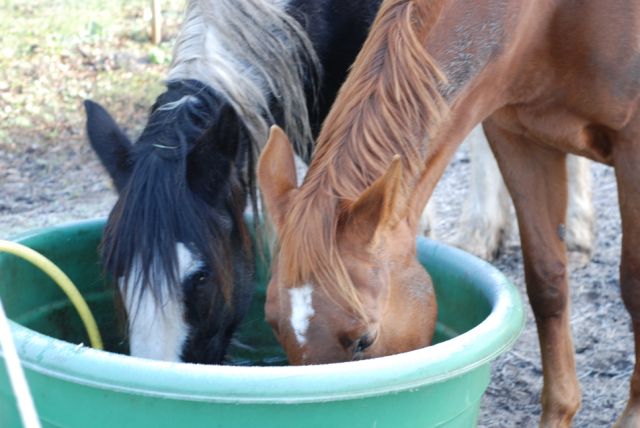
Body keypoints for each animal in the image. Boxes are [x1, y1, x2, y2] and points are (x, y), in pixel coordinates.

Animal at [258, 0, 640, 424]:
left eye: (364, 340)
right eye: (272, 323)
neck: (545, 19)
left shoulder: (632, 146)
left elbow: (635, 289)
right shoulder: (518, 136)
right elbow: (547, 283)